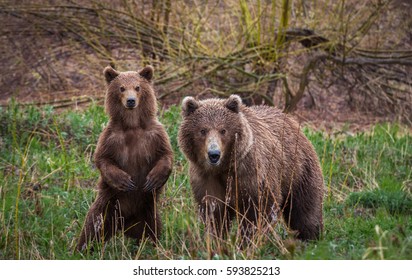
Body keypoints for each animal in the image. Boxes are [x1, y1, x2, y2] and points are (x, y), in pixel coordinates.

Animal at [76, 65, 173, 252]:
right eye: (121, 88)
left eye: (137, 87)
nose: (130, 101)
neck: (132, 125)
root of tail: (124, 225)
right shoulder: (110, 138)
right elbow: (103, 159)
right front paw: (124, 181)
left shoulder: (155, 135)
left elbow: (166, 155)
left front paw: (153, 179)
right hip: (107, 206)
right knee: (91, 227)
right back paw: (81, 248)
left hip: (148, 210)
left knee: (154, 230)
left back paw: (155, 247)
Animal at [179, 95, 324, 242]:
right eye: (203, 130)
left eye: (223, 130)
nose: (214, 154)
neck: (224, 168)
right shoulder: (206, 178)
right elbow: (214, 211)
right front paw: (217, 239)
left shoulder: (252, 174)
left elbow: (258, 211)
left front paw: (247, 239)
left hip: (298, 171)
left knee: (304, 209)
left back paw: (310, 237)